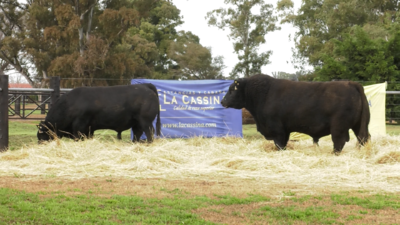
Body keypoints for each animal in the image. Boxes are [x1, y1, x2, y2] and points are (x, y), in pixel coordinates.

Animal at [220, 74, 370, 153]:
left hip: (339, 127)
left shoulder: (277, 129)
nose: (222, 101)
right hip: (358, 125)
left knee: (339, 141)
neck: (264, 94)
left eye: (232, 90)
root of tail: (351, 83)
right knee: (363, 138)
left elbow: (280, 143)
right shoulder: (285, 130)